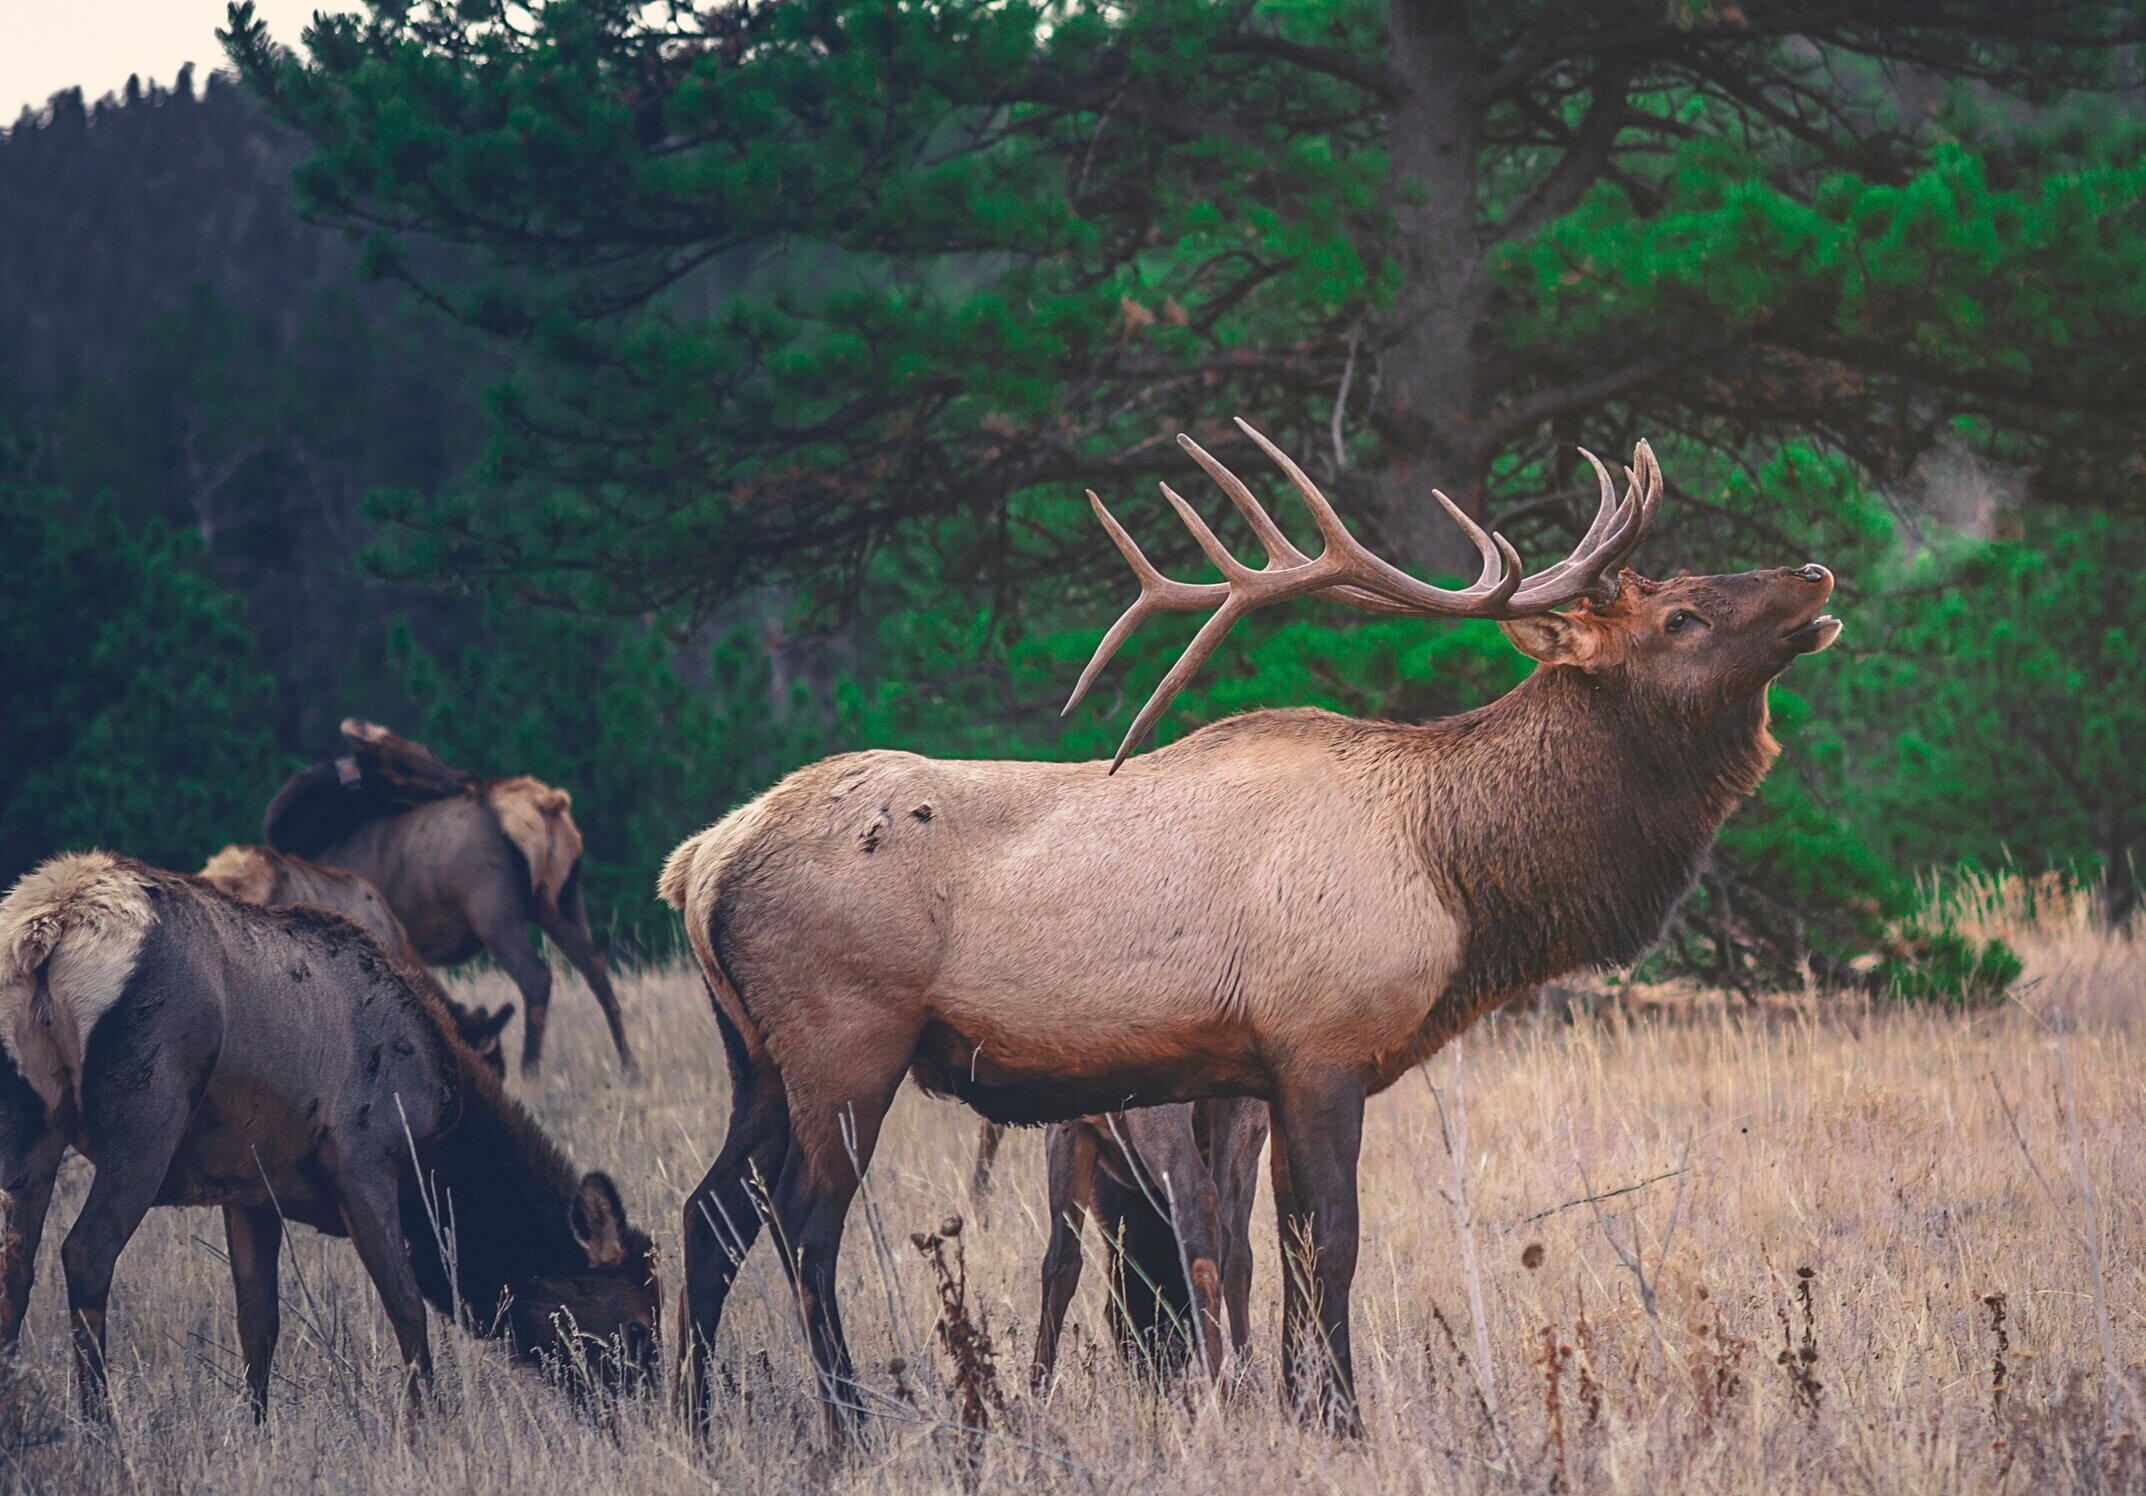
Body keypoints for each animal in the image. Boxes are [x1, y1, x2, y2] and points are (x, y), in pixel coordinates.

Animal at [264, 721, 635, 1078]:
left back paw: (531, 1071)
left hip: (492, 910)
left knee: (536, 977)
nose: (466, 778)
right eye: (407, 759)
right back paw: (629, 1068)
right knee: (596, 969)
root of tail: (550, 806)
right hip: (562, 901)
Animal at [659, 421, 1841, 1434]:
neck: (1456, 873)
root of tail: (700, 863)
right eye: (1680, 616)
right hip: (846, 1037)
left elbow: (1276, 1248)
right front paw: (1346, 1419)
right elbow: (1335, 1244)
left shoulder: (1257, 1069)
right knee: (803, 1226)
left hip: (756, 1056)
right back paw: (848, 1424)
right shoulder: (1322, 1044)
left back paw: (696, 1418)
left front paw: (1298, 1408)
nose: (1816, 576)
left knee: (709, 1213)